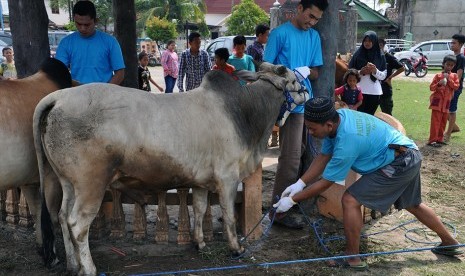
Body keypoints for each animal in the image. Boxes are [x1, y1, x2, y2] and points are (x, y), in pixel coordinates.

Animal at [35, 62, 304, 276]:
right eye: (293, 80)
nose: (305, 91)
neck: (245, 112)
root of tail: (58, 98)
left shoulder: (201, 181)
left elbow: (199, 208)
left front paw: (199, 243)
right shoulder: (227, 178)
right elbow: (228, 214)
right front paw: (236, 248)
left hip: (67, 181)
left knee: (61, 216)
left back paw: (73, 265)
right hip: (91, 184)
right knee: (77, 225)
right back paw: (88, 268)